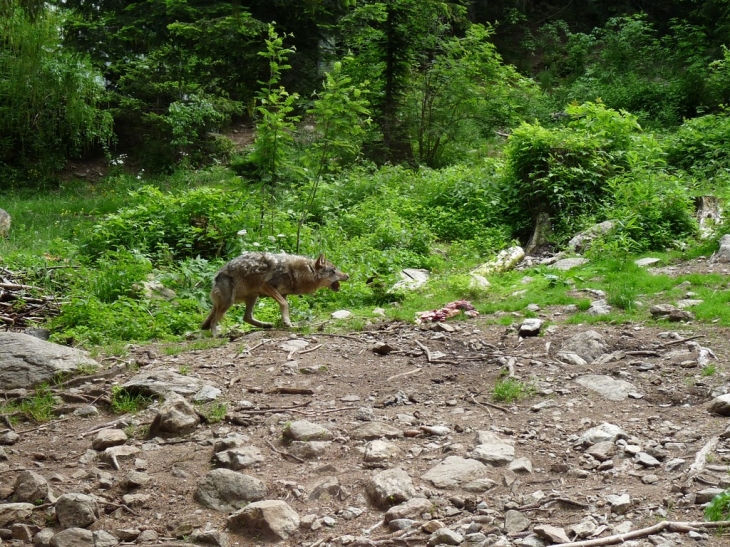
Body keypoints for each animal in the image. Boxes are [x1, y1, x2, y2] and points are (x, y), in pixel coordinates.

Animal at [199, 252, 346, 336]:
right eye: (334, 270)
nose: (348, 275)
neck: (299, 272)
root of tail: (216, 277)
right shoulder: (266, 286)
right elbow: (285, 304)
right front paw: (287, 323)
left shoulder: (282, 294)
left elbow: (284, 306)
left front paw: (286, 322)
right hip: (229, 303)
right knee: (214, 320)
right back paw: (216, 336)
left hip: (252, 298)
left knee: (246, 317)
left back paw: (267, 325)